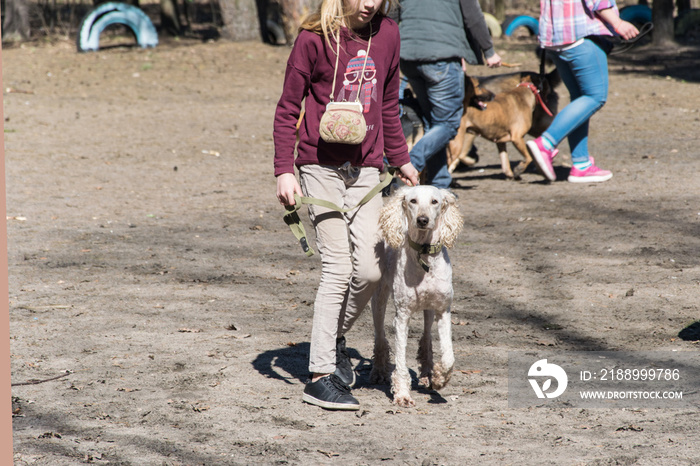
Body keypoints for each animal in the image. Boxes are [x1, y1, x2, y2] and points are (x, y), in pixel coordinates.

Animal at [370, 184, 462, 406]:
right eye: (412, 201)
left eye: (435, 202)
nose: (422, 220)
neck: (424, 253)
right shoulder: (402, 315)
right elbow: (401, 360)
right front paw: (402, 394)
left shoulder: (443, 310)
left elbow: (449, 357)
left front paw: (439, 378)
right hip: (379, 298)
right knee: (379, 335)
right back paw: (378, 370)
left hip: (429, 309)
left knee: (427, 336)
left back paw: (428, 372)